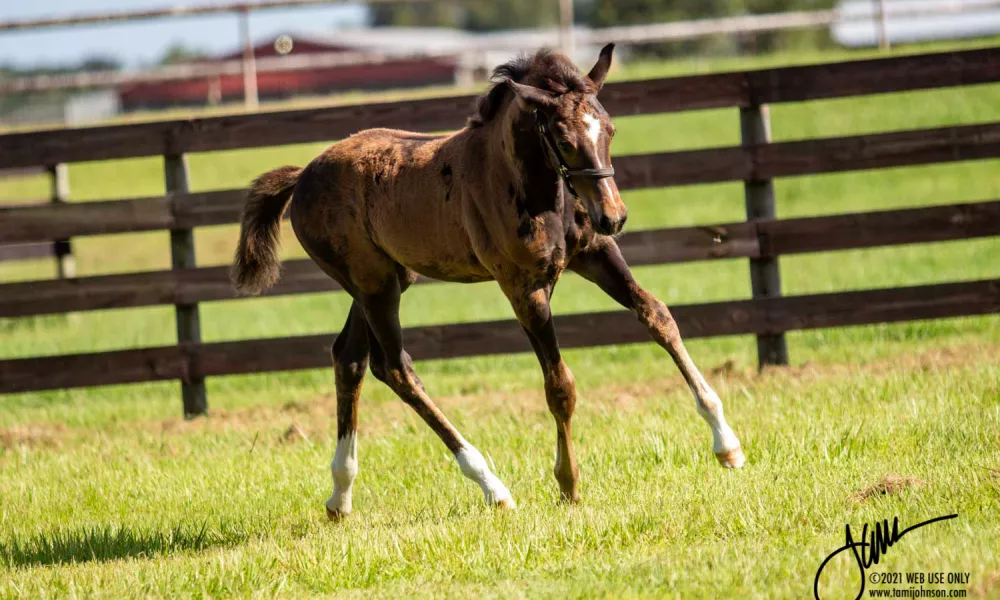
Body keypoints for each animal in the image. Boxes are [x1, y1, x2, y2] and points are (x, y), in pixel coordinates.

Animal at [229, 44, 744, 516]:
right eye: (563, 140)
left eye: (610, 129)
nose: (613, 216)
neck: (536, 188)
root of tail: (303, 175)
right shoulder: (523, 288)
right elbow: (560, 385)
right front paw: (569, 484)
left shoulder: (595, 255)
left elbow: (657, 315)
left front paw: (728, 445)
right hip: (375, 285)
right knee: (394, 367)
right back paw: (491, 486)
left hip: (385, 278)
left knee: (349, 358)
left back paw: (340, 494)